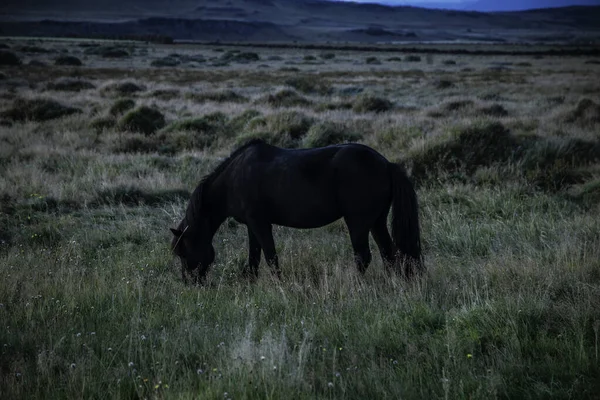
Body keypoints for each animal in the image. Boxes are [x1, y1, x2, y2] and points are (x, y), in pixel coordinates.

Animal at [169, 139, 422, 282]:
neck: (233, 179)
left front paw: (279, 285)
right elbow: (254, 258)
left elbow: (270, 257)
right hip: (376, 221)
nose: (190, 282)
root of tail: (386, 164)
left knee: (363, 257)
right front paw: (251, 283)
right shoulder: (252, 226)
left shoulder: (260, 223)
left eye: (183, 252)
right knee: (390, 254)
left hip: (358, 222)